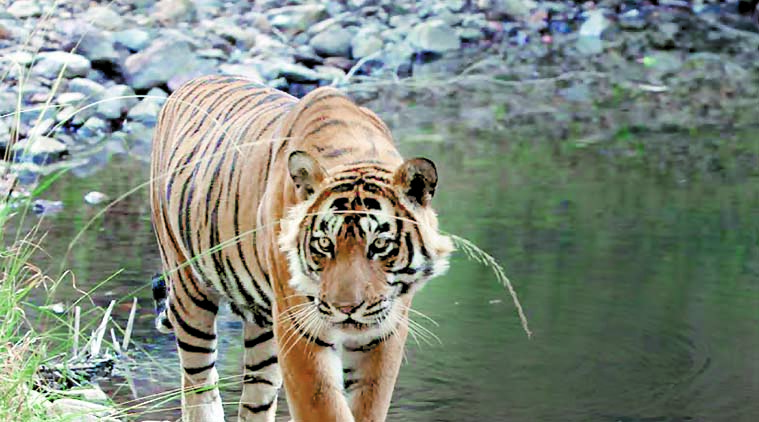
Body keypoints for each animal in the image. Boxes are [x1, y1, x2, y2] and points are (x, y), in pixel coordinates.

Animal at [150, 76, 452, 422]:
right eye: (324, 244)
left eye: (379, 244)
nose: (346, 308)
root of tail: (191, 81)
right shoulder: (300, 328)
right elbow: (325, 408)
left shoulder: (383, 333)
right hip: (189, 292)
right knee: (198, 385)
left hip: (263, 329)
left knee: (255, 398)